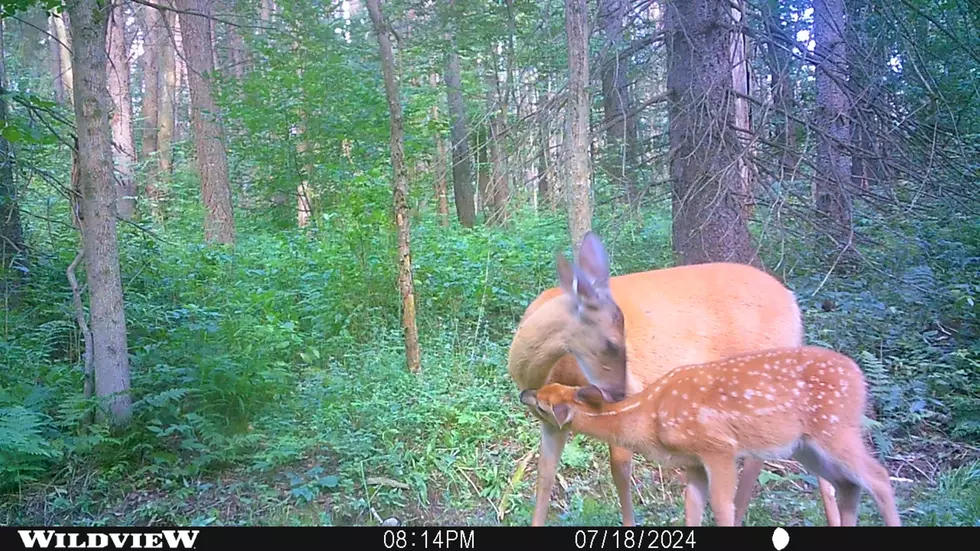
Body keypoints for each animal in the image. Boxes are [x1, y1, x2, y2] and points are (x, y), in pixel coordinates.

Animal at [507, 231, 841, 526]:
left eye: (622, 341)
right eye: (612, 344)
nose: (618, 391)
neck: (545, 373)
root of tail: (794, 303)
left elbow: (620, 469)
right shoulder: (551, 420)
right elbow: (544, 477)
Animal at [518, 345, 902, 527]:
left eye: (544, 402)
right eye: (549, 389)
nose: (524, 394)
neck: (649, 418)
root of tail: (860, 378)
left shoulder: (718, 447)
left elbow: (722, 507)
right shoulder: (693, 462)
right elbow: (693, 508)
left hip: (835, 428)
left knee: (879, 477)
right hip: (806, 447)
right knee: (848, 485)